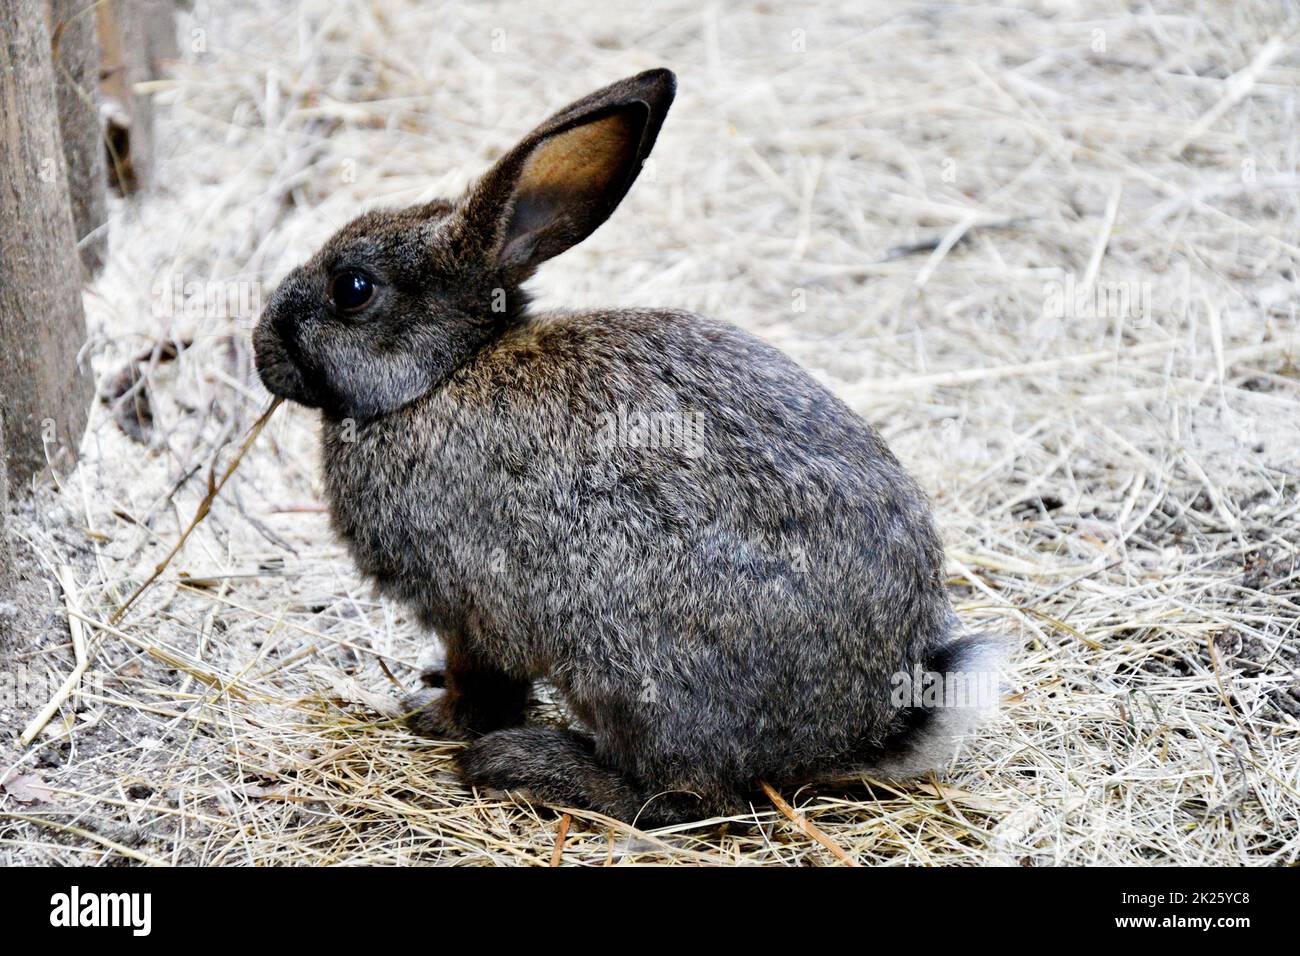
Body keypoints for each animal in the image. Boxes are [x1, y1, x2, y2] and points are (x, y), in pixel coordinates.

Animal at [253, 69, 1002, 827]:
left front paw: (435, 716)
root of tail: (858, 730)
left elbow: (483, 682)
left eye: (352, 289)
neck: (443, 373)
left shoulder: (473, 606)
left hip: (627, 669)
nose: (261, 350)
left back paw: (533, 765)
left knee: (684, 794)